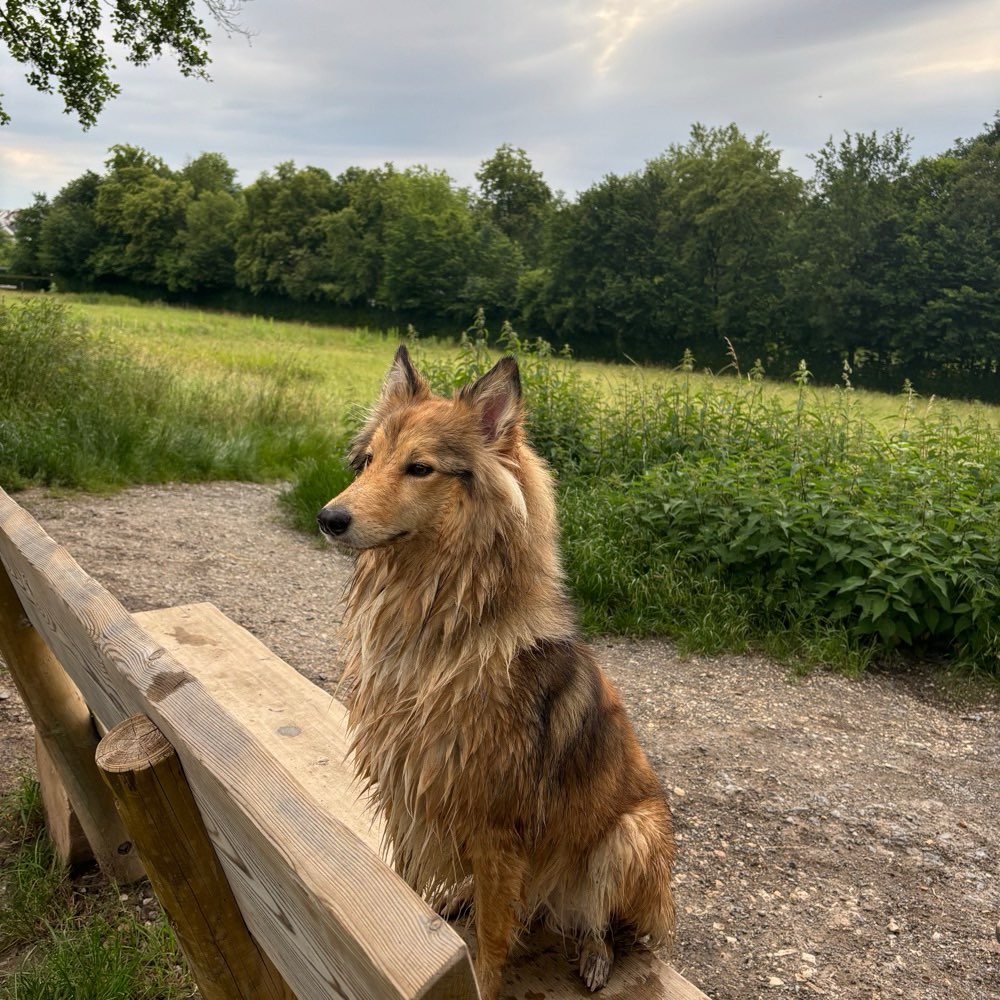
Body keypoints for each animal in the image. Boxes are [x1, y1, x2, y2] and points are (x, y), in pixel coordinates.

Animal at [318, 348, 680, 996]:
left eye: (420, 468)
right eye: (368, 461)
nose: (327, 517)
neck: (436, 627)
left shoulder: (496, 828)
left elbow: (491, 936)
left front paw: (479, 979)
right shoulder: (411, 795)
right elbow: (413, 884)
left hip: (629, 838)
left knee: (601, 920)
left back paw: (595, 956)